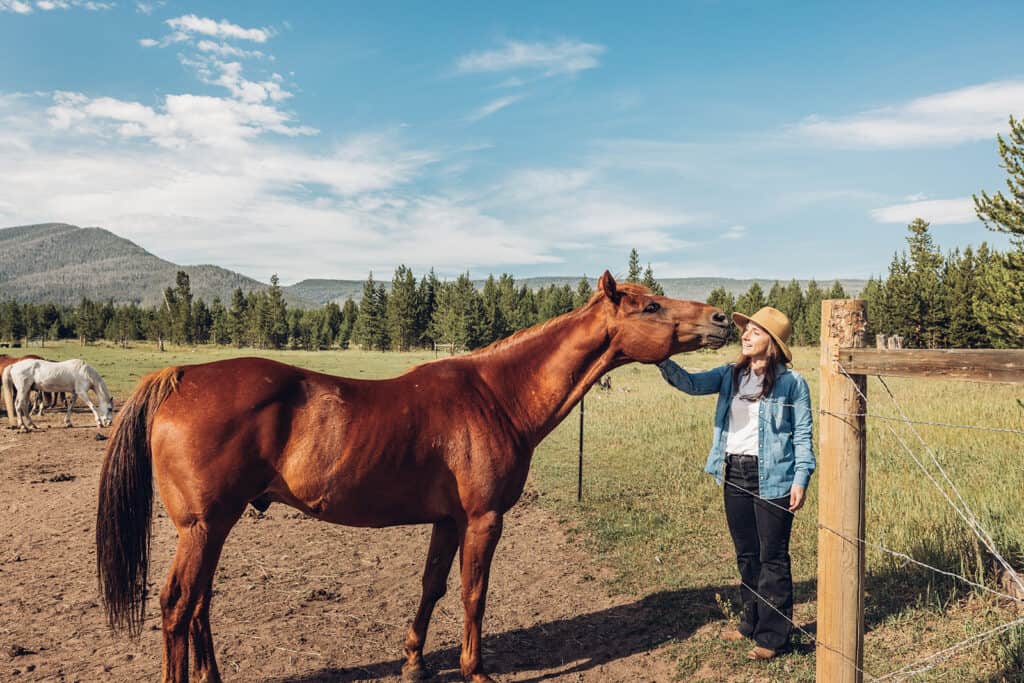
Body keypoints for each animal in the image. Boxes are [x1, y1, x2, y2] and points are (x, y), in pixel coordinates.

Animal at [95, 271, 730, 683]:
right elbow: (475, 593)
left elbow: (433, 587)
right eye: (649, 306)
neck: (496, 395)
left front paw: (414, 662)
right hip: (203, 528)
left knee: (199, 606)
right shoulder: (483, 520)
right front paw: (475, 670)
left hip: (215, 528)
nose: (722, 319)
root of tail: (182, 376)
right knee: (178, 607)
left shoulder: (447, 521)